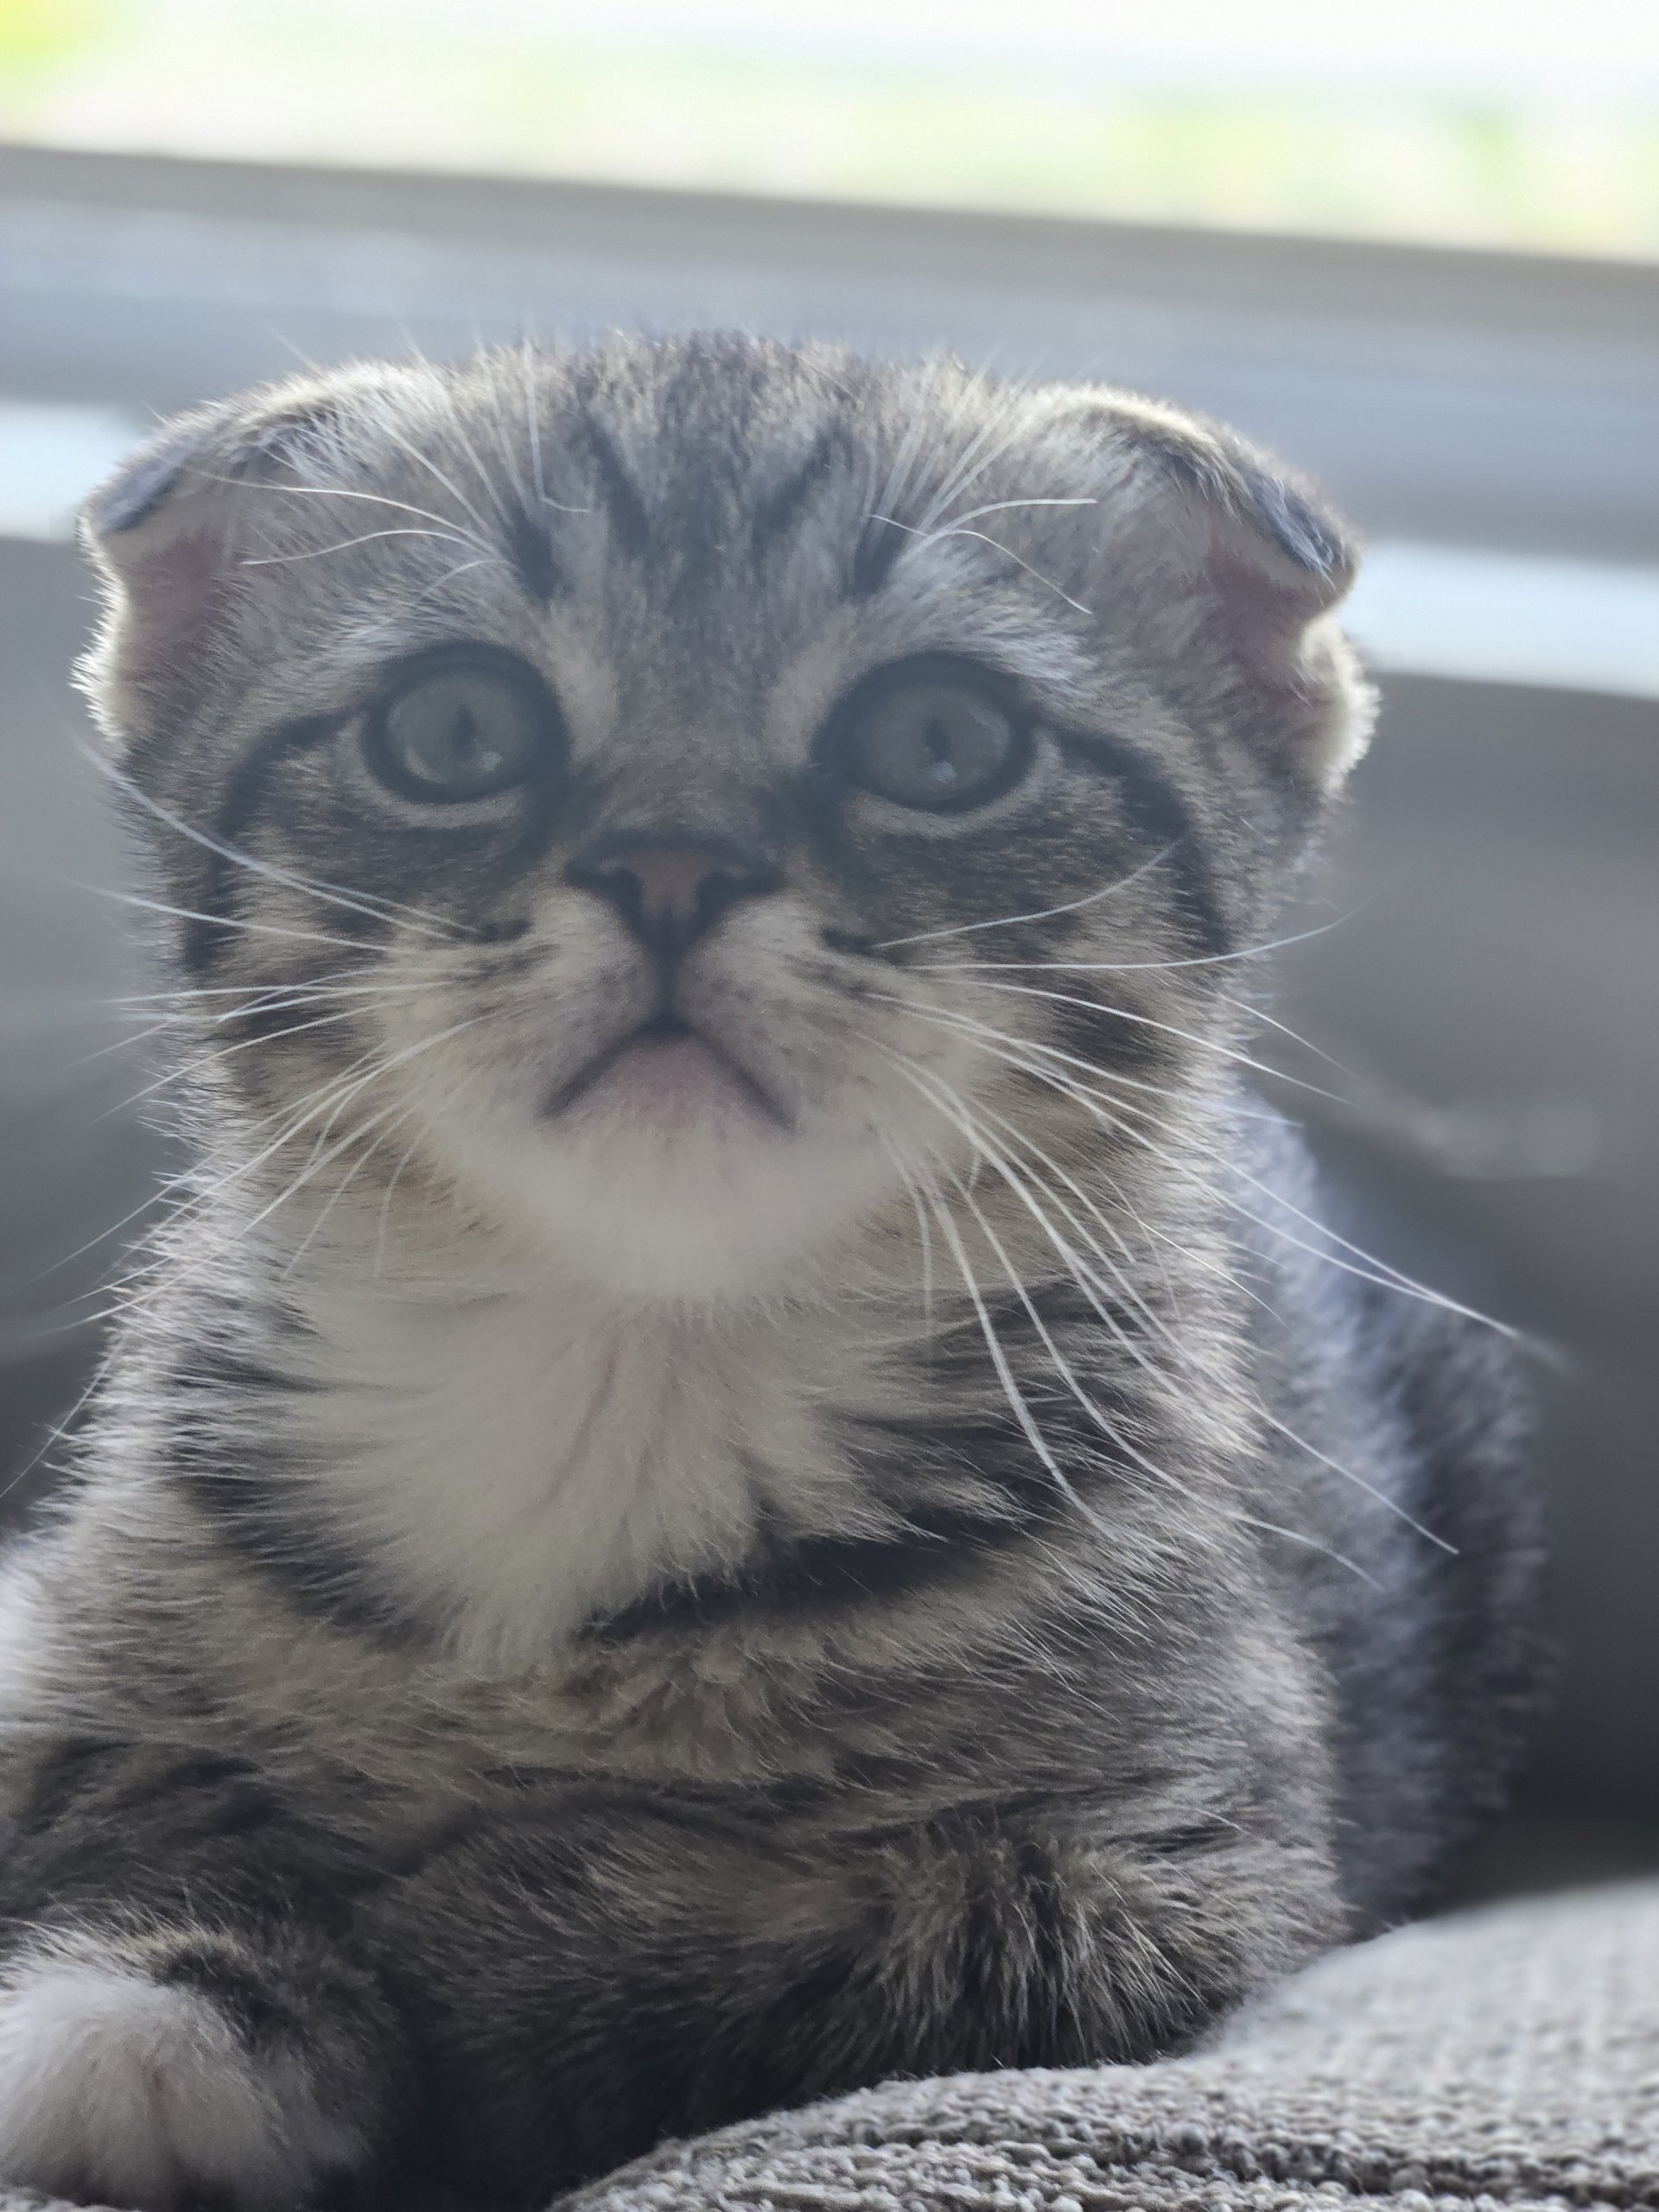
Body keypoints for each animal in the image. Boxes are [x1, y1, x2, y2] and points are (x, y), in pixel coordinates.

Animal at [0, 336, 1548, 2202]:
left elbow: (751, 1933)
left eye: (943, 740)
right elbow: (110, 1780)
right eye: (452, 729)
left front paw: (366, 1976)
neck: (627, 1360)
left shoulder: (1178, 1866)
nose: (673, 863)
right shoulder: (81, 1640)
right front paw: (172, 1966)